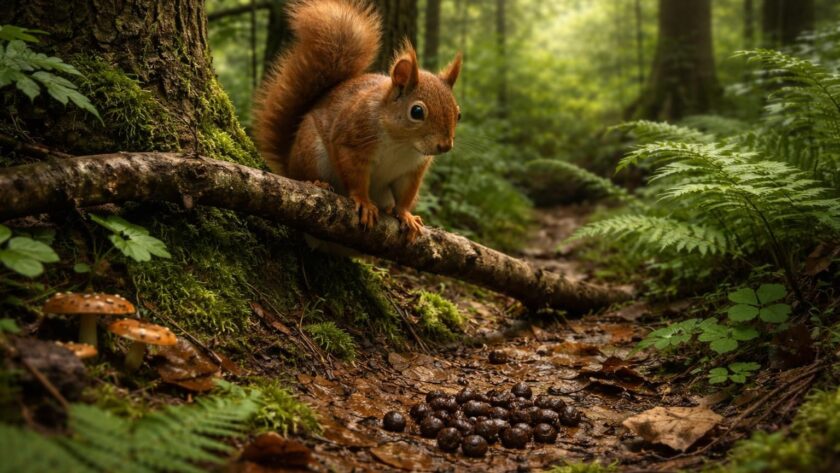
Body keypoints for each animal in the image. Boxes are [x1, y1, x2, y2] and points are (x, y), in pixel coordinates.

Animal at [252, 0, 462, 241]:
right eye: (417, 112)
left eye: (458, 114)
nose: (445, 146)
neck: (402, 144)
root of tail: (288, 160)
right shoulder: (353, 141)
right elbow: (356, 177)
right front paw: (364, 203)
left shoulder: (413, 170)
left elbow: (405, 195)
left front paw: (405, 215)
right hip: (310, 151)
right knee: (303, 174)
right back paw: (316, 182)